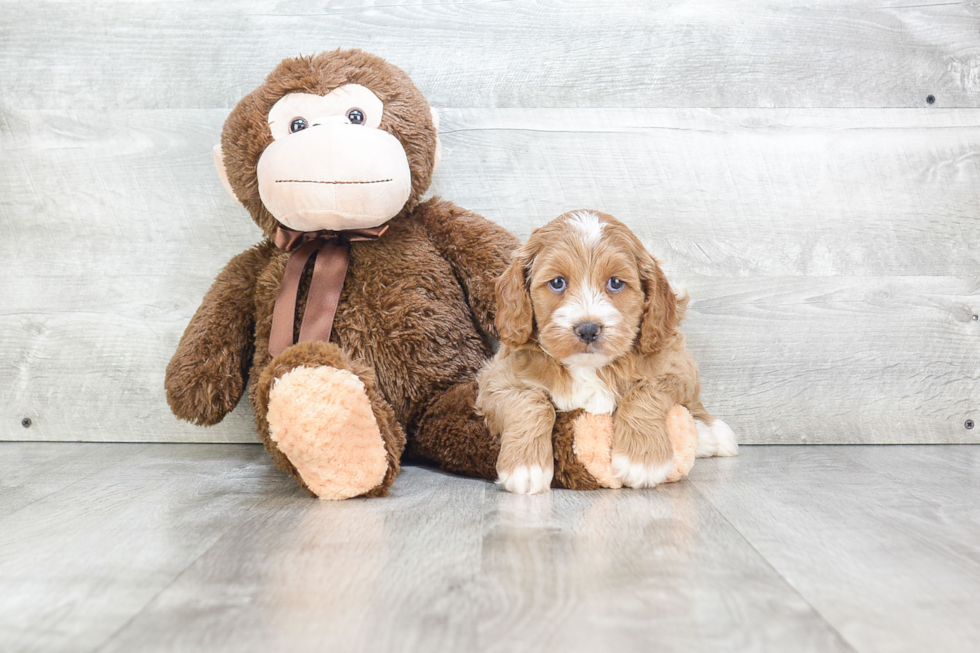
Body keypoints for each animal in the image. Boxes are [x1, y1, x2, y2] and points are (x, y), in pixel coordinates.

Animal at [474, 210, 736, 494]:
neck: (588, 367)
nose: (588, 329)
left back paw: (712, 434)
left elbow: (644, 391)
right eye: (557, 282)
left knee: (693, 402)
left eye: (616, 283)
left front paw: (642, 460)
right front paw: (525, 466)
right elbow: (530, 403)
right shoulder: (497, 378)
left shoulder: (672, 365)